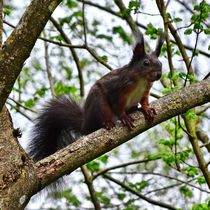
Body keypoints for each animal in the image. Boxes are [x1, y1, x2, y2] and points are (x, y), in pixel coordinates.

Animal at [28, 33, 165, 161]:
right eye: (146, 63)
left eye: (160, 63)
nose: (159, 74)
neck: (142, 79)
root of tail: (85, 124)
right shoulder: (118, 87)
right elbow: (117, 104)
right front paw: (124, 117)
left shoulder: (145, 91)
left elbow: (144, 101)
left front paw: (147, 109)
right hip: (99, 102)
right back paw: (107, 123)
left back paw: (136, 109)